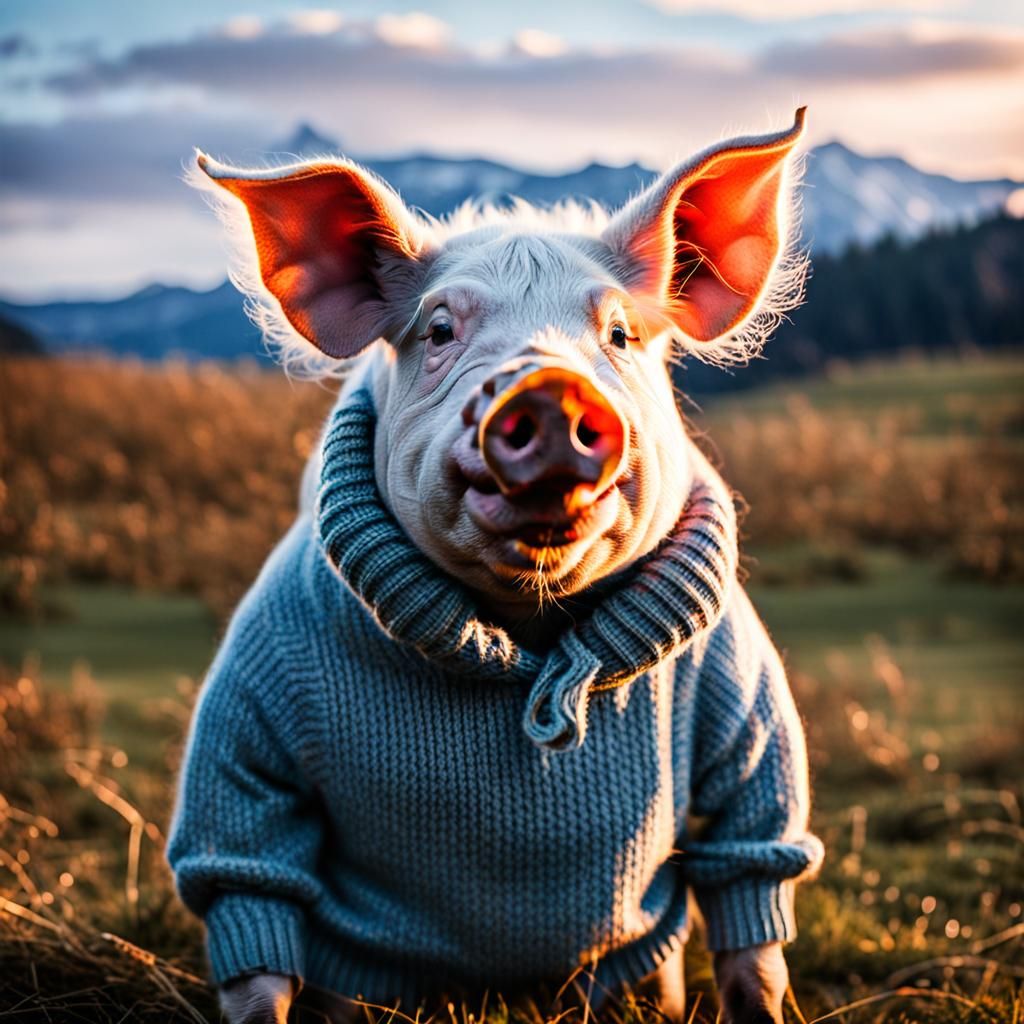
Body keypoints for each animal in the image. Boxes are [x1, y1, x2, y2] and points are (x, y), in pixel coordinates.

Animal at [168, 108, 823, 1024]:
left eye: (619, 334)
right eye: (441, 330)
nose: (548, 389)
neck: (525, 624)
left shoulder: (741, 691)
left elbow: (752, 880)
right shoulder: (257, 690)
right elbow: (247, 877)